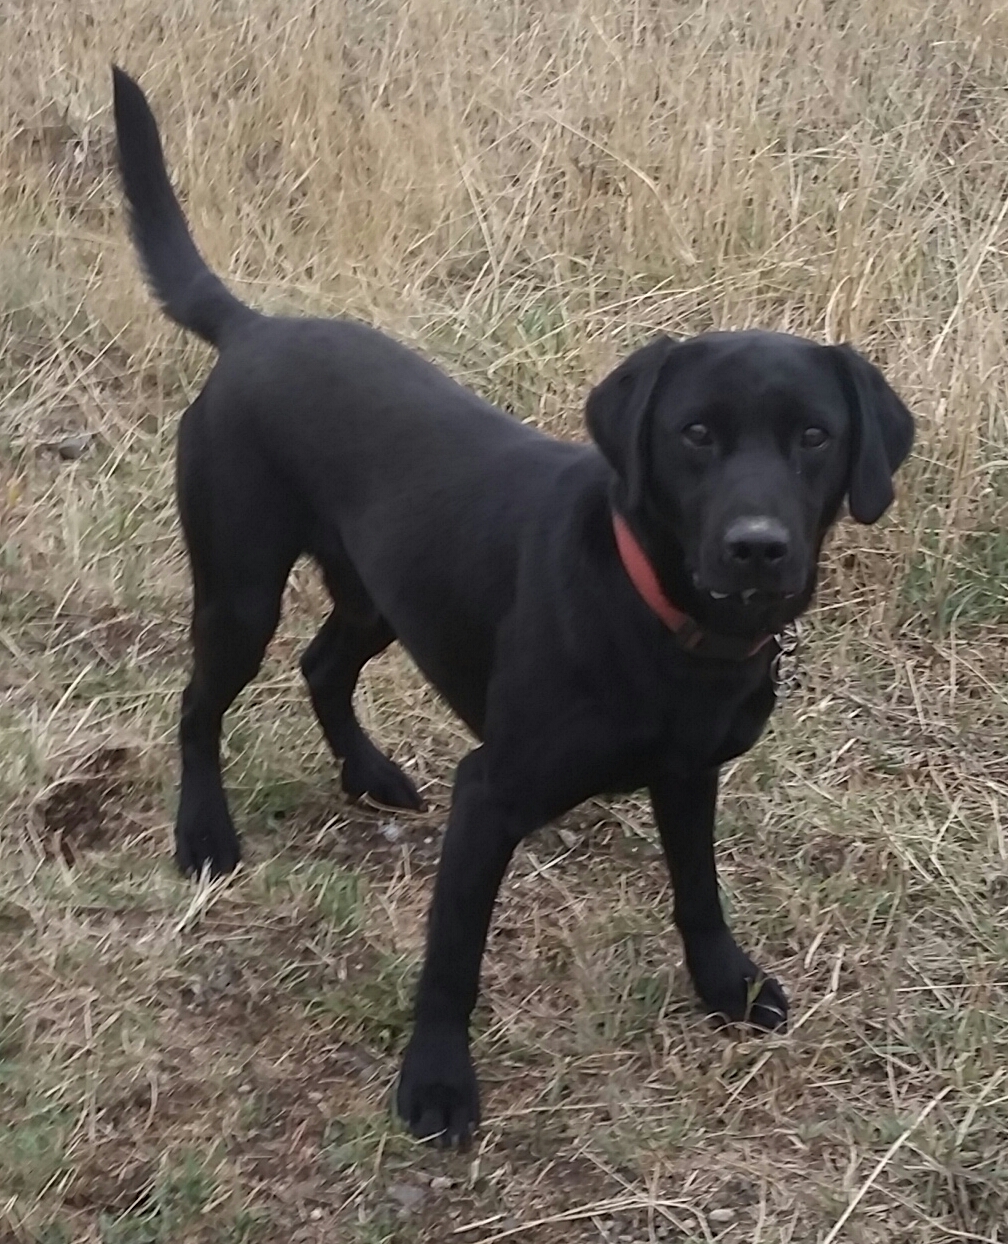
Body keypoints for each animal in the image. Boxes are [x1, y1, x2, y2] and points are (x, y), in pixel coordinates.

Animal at [110, 68, 910, 1144]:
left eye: (814, 437)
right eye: (696, 433)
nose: (757, 547)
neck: (659, 623)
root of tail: (255, 329)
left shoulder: (690, 774)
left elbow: (699, 892)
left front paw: (725, 986)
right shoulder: (490, 795)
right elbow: (453, 955)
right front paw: (436, 1082)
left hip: (382, 590)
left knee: (323, 664)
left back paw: (368, 772)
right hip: (240, 590)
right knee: (200, 704)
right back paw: (203, 836)